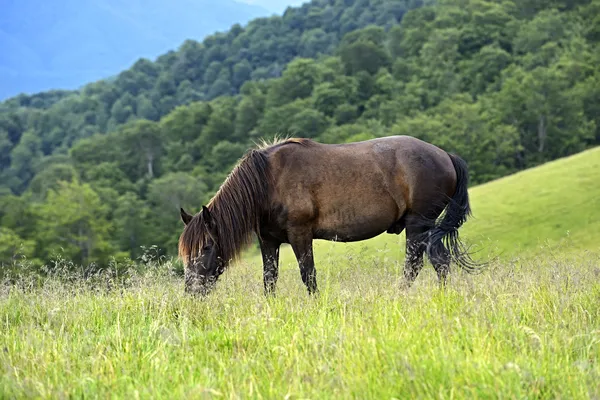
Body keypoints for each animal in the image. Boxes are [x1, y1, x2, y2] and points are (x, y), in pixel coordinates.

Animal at [178, 136, 482, 296]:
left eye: (206, 247)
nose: (191, 290)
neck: (268, 182)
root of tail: (445, 154)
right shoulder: (268, 241)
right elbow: (269, 279)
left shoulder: (300, 235)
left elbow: (308, 275)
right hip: (426, 228)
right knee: (440, 261)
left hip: (418, 225)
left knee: (416, 264)